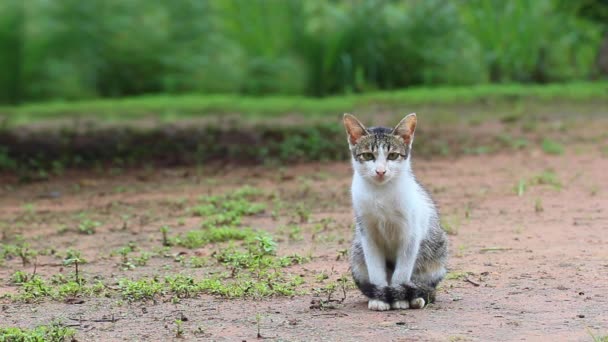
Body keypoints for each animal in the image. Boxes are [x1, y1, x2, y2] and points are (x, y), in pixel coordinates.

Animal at [344, 113, 448, 312]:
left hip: (437, 255)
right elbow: (375, 268)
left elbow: (402, 271)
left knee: (427, 288)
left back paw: (415, 296)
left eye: (392, 155)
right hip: (357, 253)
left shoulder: (411, 233)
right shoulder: (367, 233)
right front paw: (381, 299)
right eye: (368, 155)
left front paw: (399, 299)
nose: (380, 171)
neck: (381, 193)